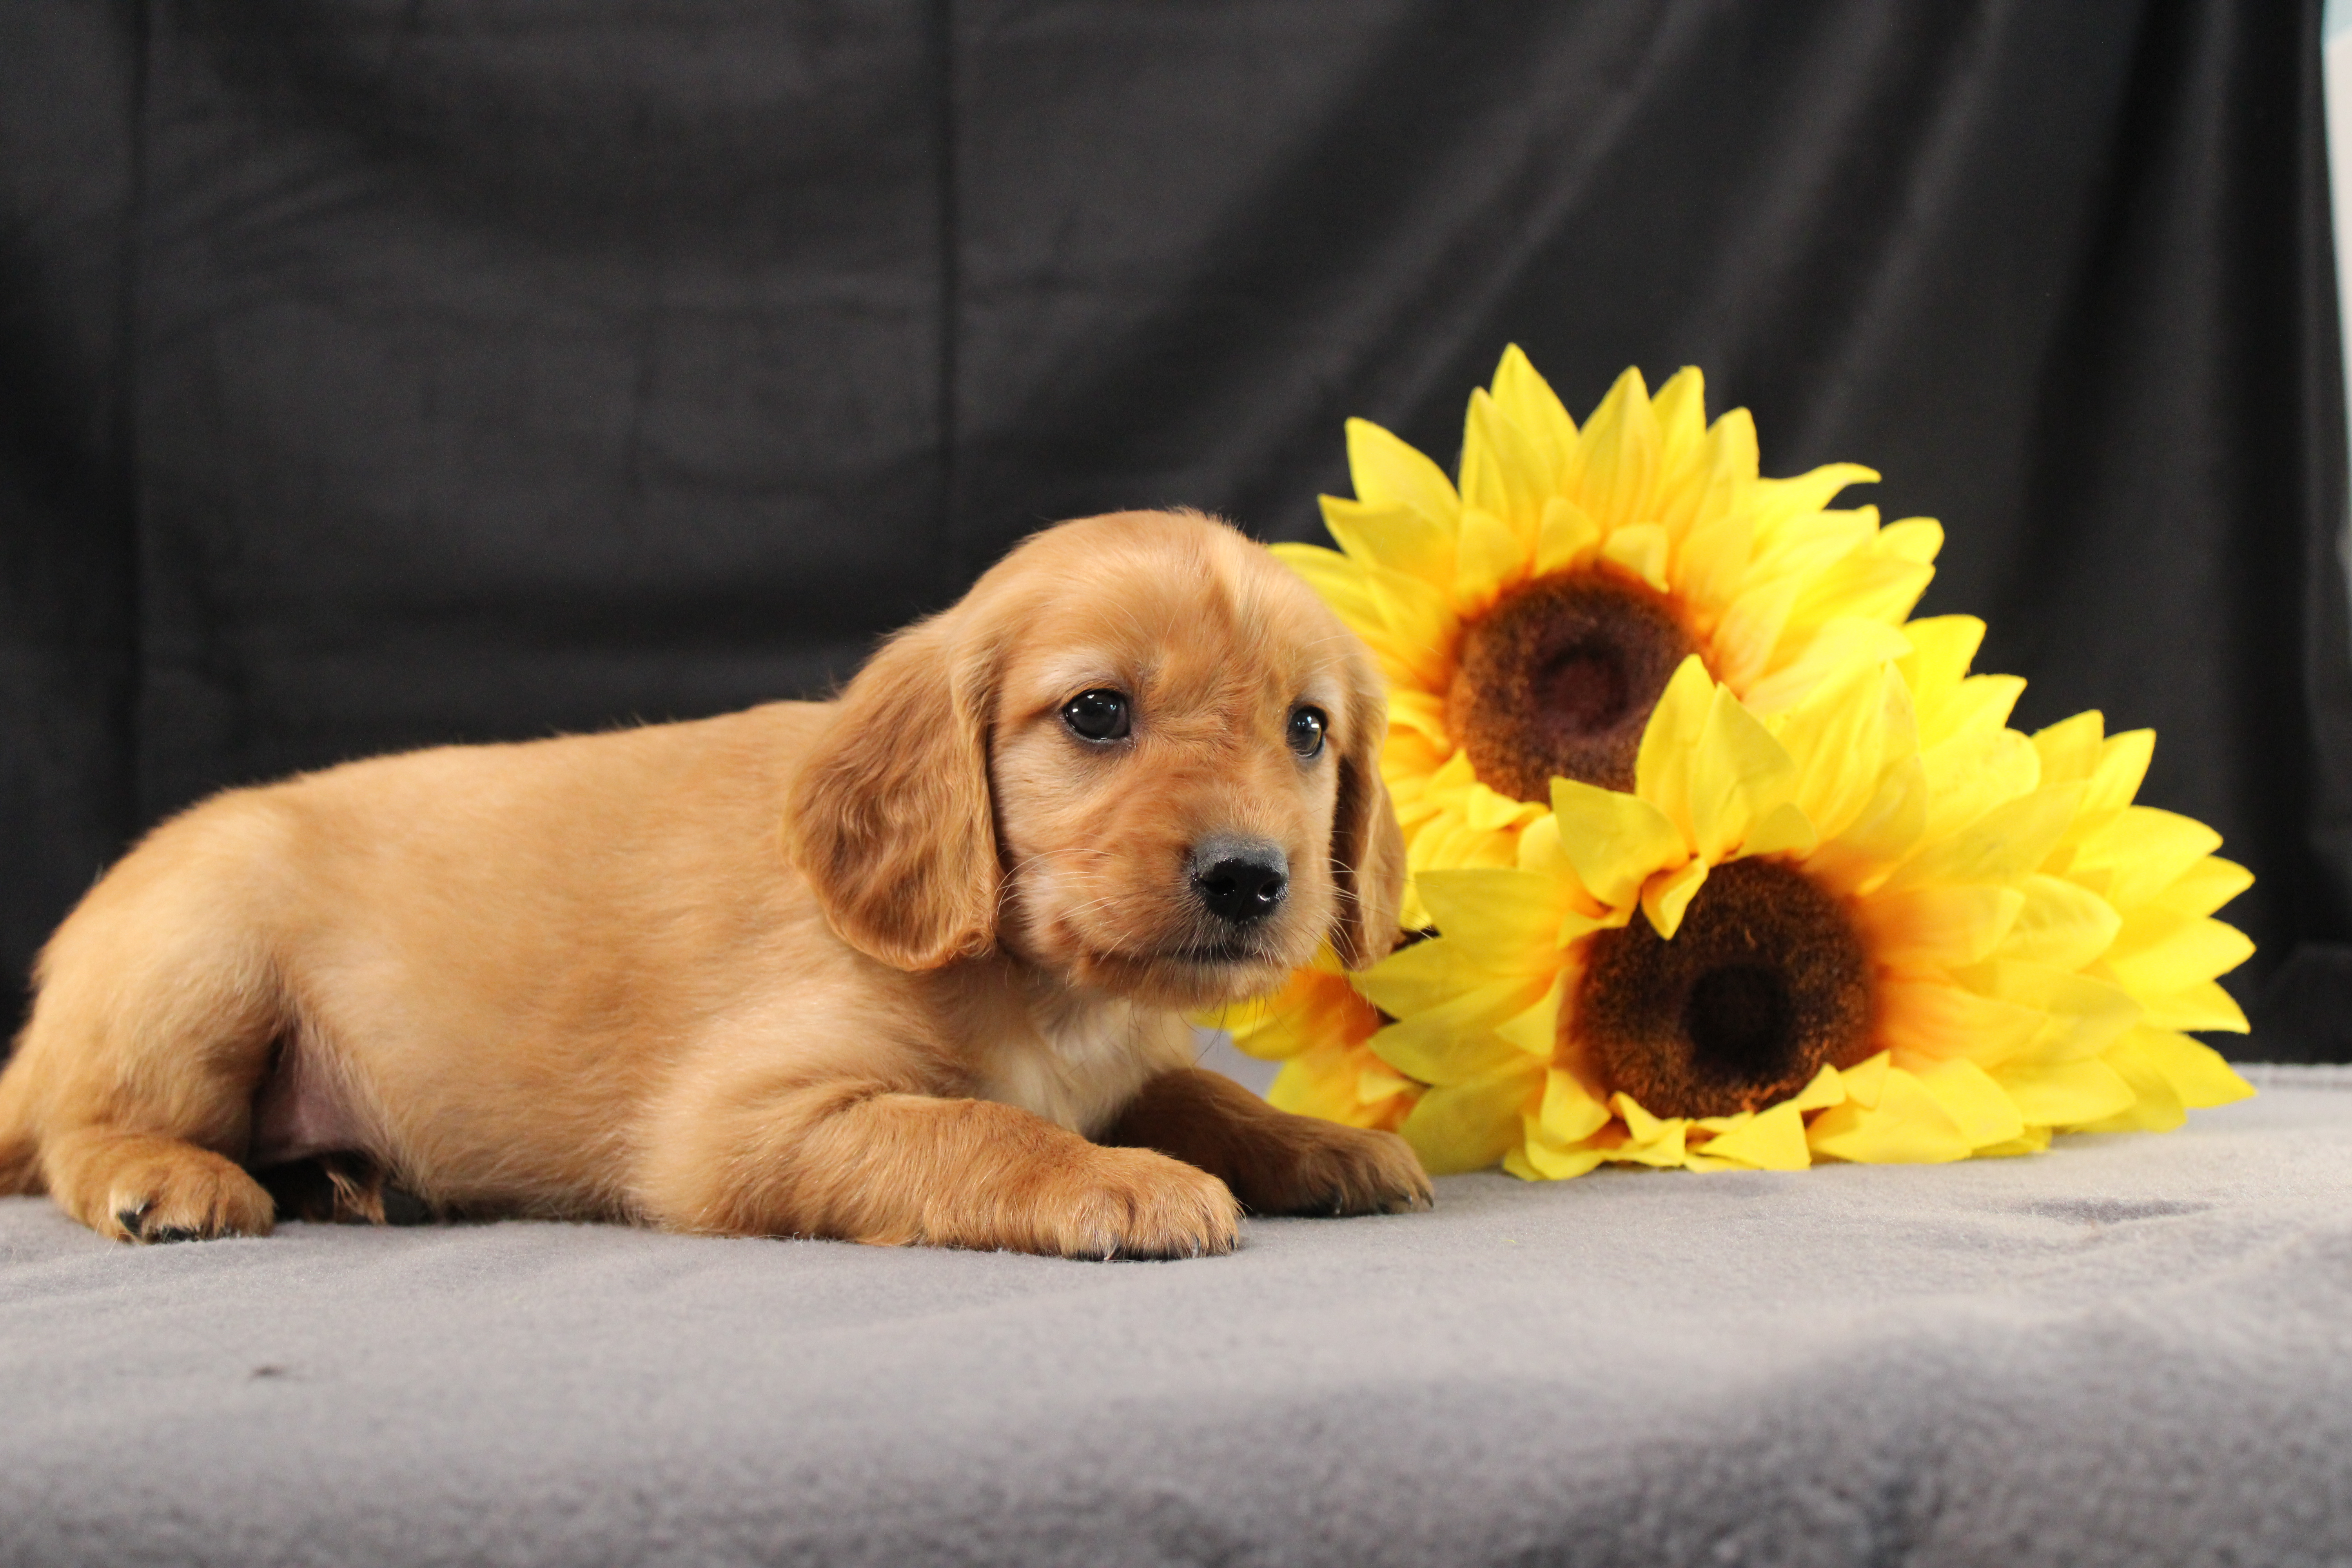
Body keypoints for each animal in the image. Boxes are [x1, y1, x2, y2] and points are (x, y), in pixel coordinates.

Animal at [0, 510, 1430, 1260]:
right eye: (1095, 713)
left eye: (1308, 730)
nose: (1250, 879)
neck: (1045, 994)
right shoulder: (734, 1126)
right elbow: (978, 1127)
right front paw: (1120, 1182)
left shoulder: (1131, 1062)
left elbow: (1198, 1094)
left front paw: (1318, 1143)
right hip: (199, 965)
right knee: (76, 1128)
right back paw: (167, 1177)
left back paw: (352, 1179)